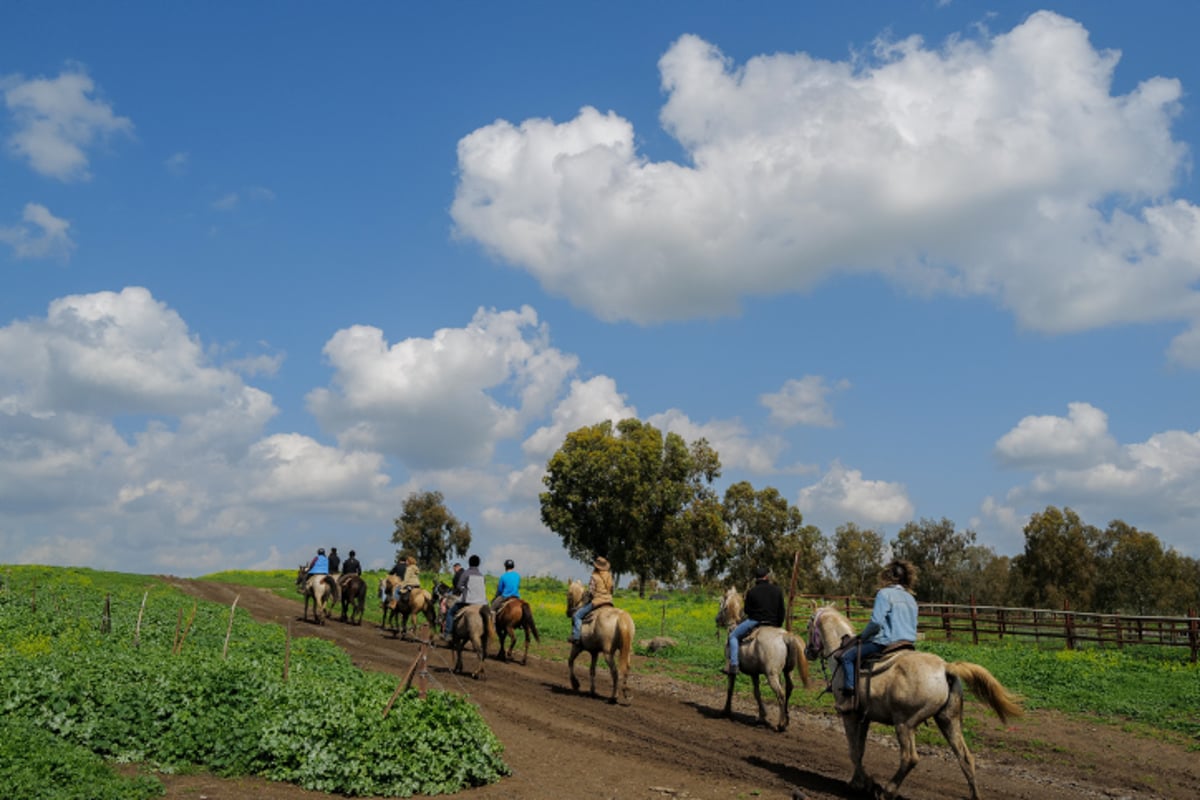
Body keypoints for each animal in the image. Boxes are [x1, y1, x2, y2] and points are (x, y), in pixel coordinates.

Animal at [715, 582, 811, 734]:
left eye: (721, 604)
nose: (717, 619)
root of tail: (785, 636)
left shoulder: (731, 670)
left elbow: (730, 688)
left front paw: (726, 711)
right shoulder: (754, 673)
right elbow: (756, 693)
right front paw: (761, 716)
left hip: (771, 675)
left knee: (780, 694)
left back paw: (780, 724)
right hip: (788, 672)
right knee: (789, 690)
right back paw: (787, 720)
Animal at [806, 606, 1022, 800]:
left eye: (809, 626)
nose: (808, 651)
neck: (840, 656)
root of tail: (946, 668)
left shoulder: (849, 715)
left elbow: (853, 750)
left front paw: (861, 784)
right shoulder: (863, 717)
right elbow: (860, 750)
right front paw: (863, 782)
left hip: (905, 724)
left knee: (909, 758)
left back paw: (887, 791)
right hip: (948, 721)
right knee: (965, 757)